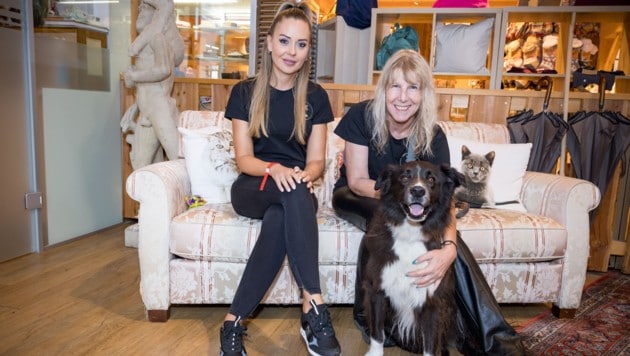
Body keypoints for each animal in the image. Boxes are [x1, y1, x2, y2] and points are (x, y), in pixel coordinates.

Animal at [360, 161, 464, 356]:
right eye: (404, 178)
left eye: (431, 180)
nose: (417, 191)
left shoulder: (433, 301)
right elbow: (377, 333)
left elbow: (430, 346)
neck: (410, 235)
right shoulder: (377, 289)